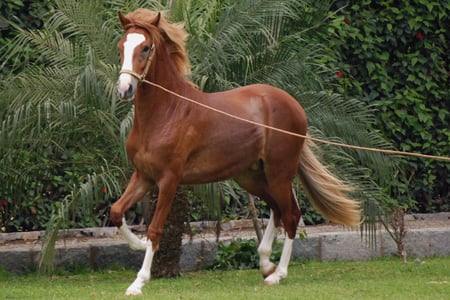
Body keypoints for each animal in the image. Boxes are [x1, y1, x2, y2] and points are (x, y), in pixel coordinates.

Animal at [110, 8, 358, 296]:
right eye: (121, 47)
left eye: (146, 48)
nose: (125, 89)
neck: (167, 113)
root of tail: (294, 105)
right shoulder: (144, 176)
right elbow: (116, 211)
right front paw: (137, 244)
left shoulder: (169, 180)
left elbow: (155, 229)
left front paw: (138, 282)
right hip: (251, 177)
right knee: (277, 210)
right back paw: (265, 263)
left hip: (279, 173)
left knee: (291, 214)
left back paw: (278, 274)